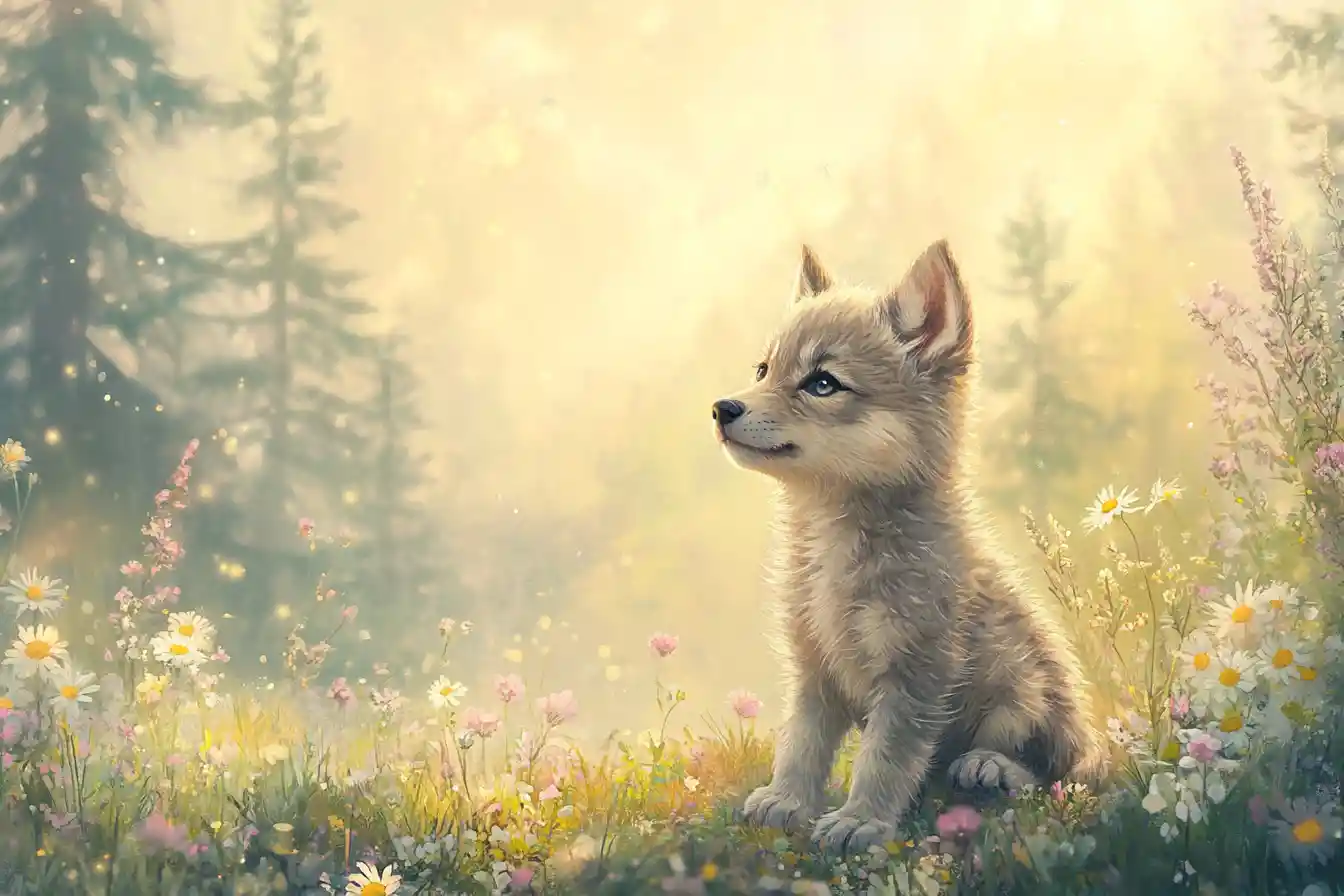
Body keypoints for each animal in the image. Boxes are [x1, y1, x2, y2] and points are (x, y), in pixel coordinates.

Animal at [711, 240, 1105, 855]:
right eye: (763, 370)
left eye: (822, 383)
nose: (723, 408)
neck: (834, 540)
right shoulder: (813, 667)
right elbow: (801, 744)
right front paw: (788, 800)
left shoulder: (916, 673)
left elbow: (885, 760)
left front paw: (861, 821)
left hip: (1026, 688)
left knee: (1059, 769)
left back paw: (990, 767)